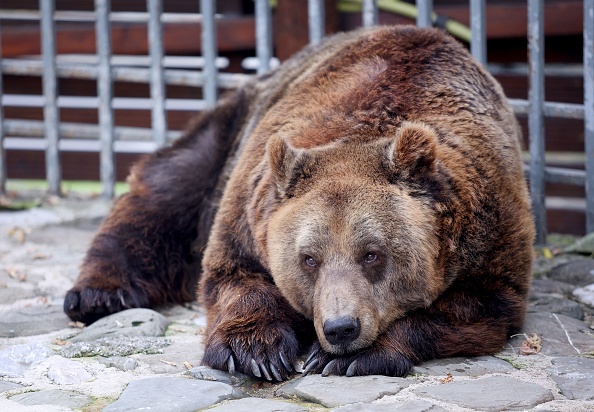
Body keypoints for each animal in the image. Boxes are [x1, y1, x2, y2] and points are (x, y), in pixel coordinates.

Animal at [65, 25, 532, 380]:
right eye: (309, 258)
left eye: (373, 254)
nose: (341, 328)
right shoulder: (249, 208)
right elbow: (234, 277)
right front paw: (256, 351)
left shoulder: (489, 230)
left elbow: (479, 307)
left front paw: (348, 357)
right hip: (228, 134)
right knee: (166, 191)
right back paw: (98, 295)